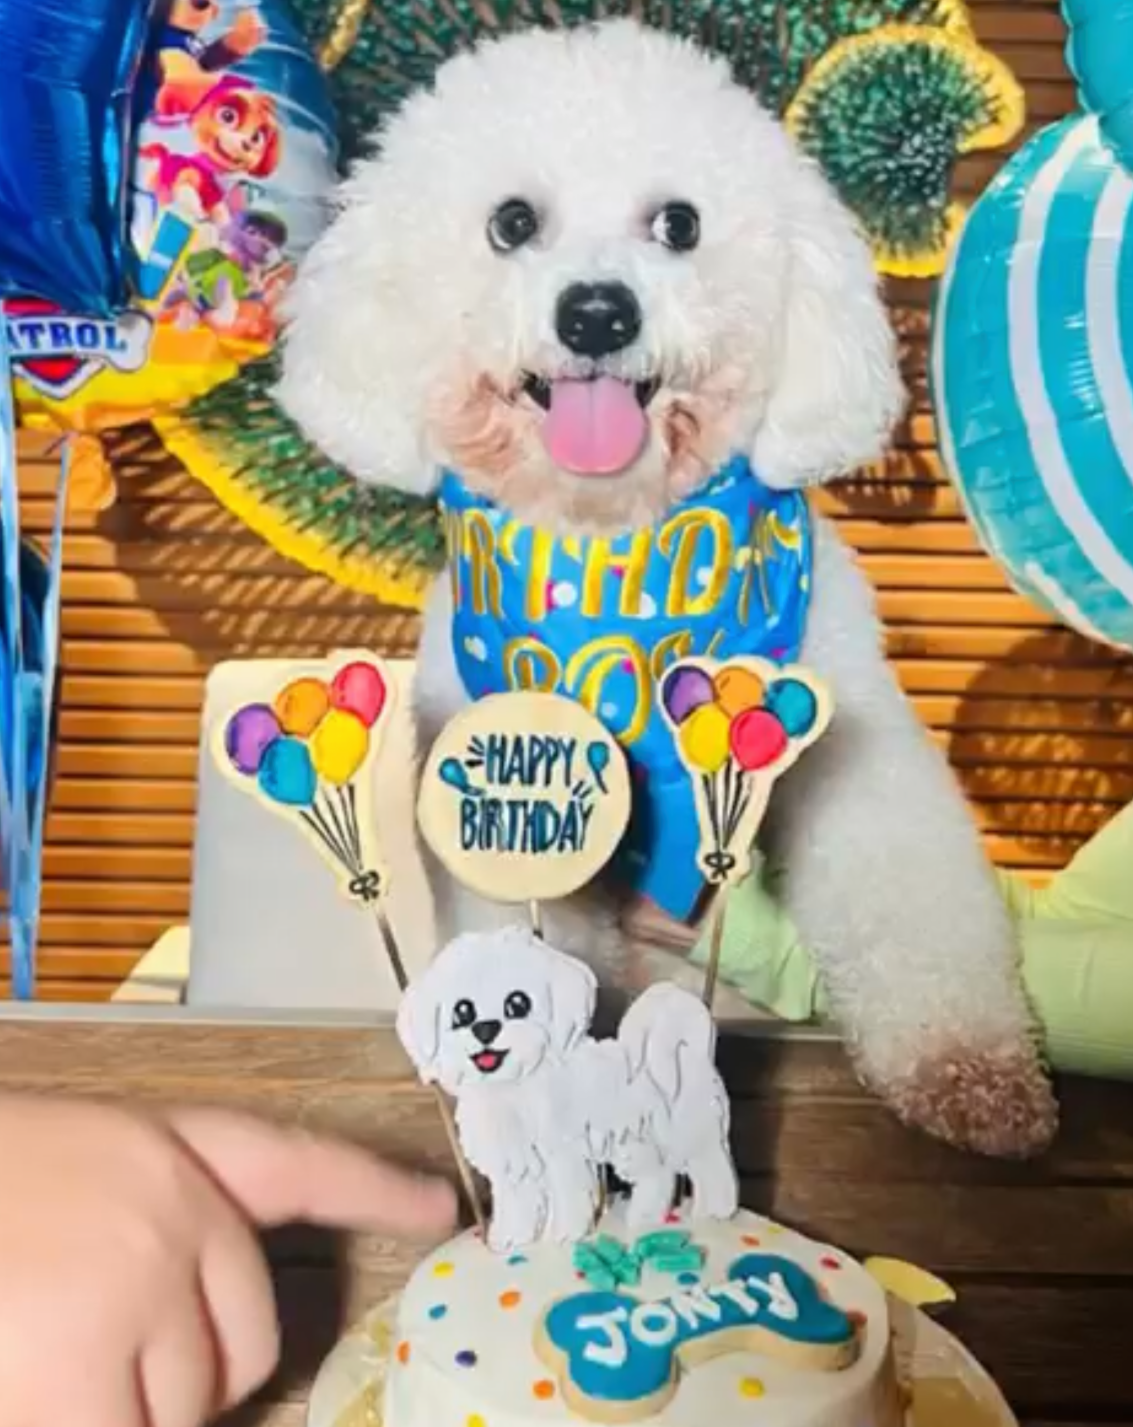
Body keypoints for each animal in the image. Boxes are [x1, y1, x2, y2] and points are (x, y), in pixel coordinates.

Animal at [278, 16, 1055, 1158]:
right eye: (512, 223)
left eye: (677, 224)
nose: (598, 313)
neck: (621, 553)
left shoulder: (849, 747)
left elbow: (901, 893)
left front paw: (970, 1069)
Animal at [393, 924, 730, 1250]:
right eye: (462, 1012)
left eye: (518, 1003)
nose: (485, 1028)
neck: (512, 1088)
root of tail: (681, 1046)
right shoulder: (516, 1169)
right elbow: (517, 1206)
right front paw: (511, 1238)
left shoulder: (564, 1157)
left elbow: (568, 1198)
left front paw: (564, 1235)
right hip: (635, 1144)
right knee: (658, 1175)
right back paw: (644, 1216)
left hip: (690, 1132)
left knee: (712, 1168)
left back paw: (716, 1210)